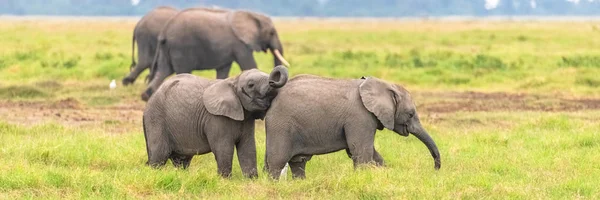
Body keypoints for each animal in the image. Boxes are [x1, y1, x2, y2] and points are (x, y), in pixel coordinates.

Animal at [141, 7, 290, 101]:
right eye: (271, 33)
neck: (252, 14)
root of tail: (165, 30)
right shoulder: (240, 44)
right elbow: (249, 64)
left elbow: (224, 70)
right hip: (181, 48)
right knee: (181, 71)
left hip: (167, 49)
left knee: (163, 70)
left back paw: (146, 96)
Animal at [143, 65, 288, 178]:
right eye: (251, 85)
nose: (273, 81)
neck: (233, 80)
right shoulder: (216, 118)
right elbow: (224, 149)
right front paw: (225, 180)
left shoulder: (246, 119)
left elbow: (248, 148)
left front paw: (251, 180)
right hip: (156, 119)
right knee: (159, 157)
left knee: (181, 161)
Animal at [262, 74, 440, 180]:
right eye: (410, 114)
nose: (436, 169)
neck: (382, 84)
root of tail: (274, 96)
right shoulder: (360, 117)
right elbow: (361, 151)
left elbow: (368, 152)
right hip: (281, 125)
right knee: (277, 162)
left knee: (298, 162)